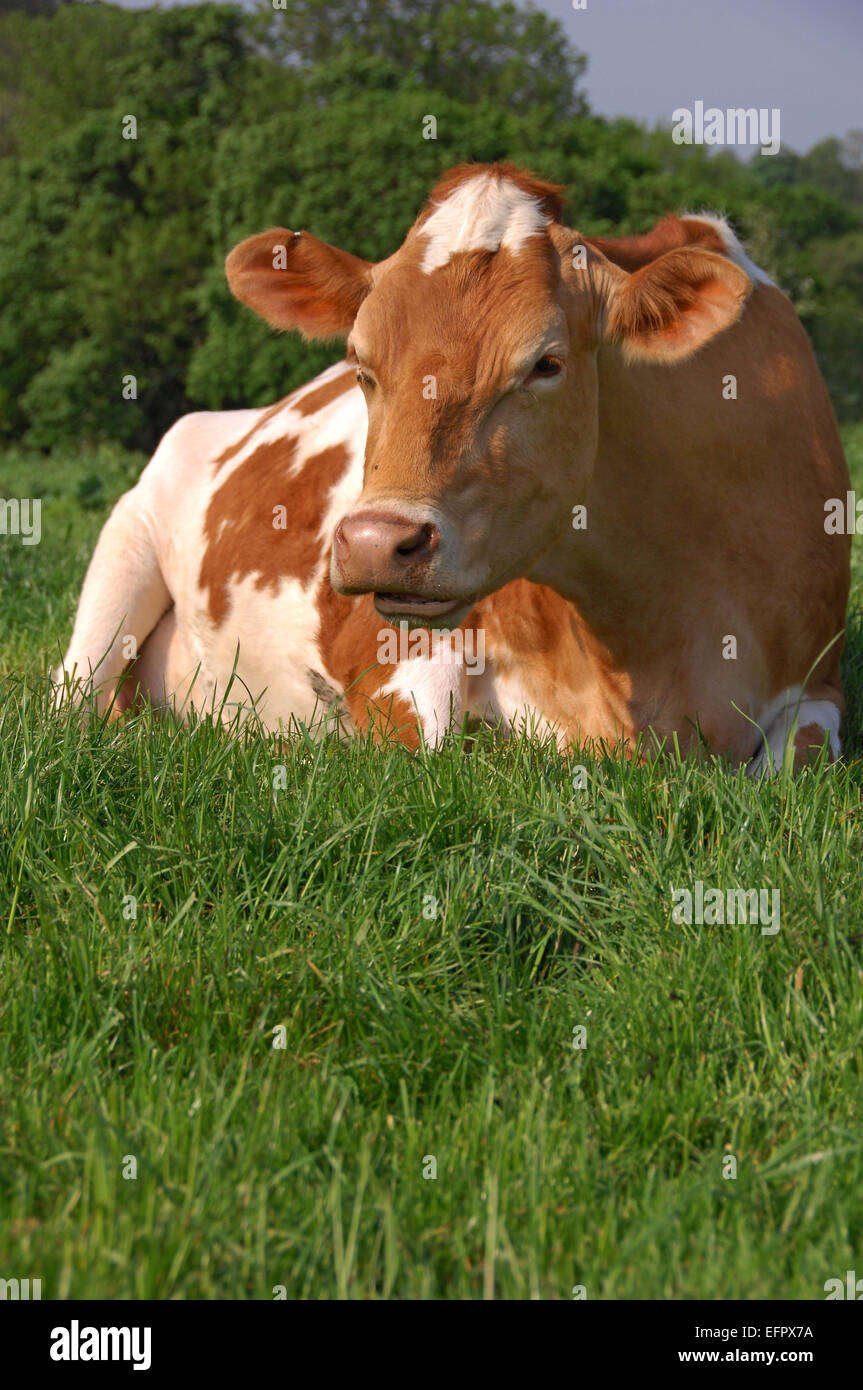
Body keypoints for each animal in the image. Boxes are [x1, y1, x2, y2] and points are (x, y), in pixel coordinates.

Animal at [53, 165, 850, 772]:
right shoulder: (395, 663)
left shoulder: (820, 685)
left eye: (546, 363)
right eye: (360, 362)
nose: (375, 543)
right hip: (122, 548)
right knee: (71, 705)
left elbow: (796, 761)